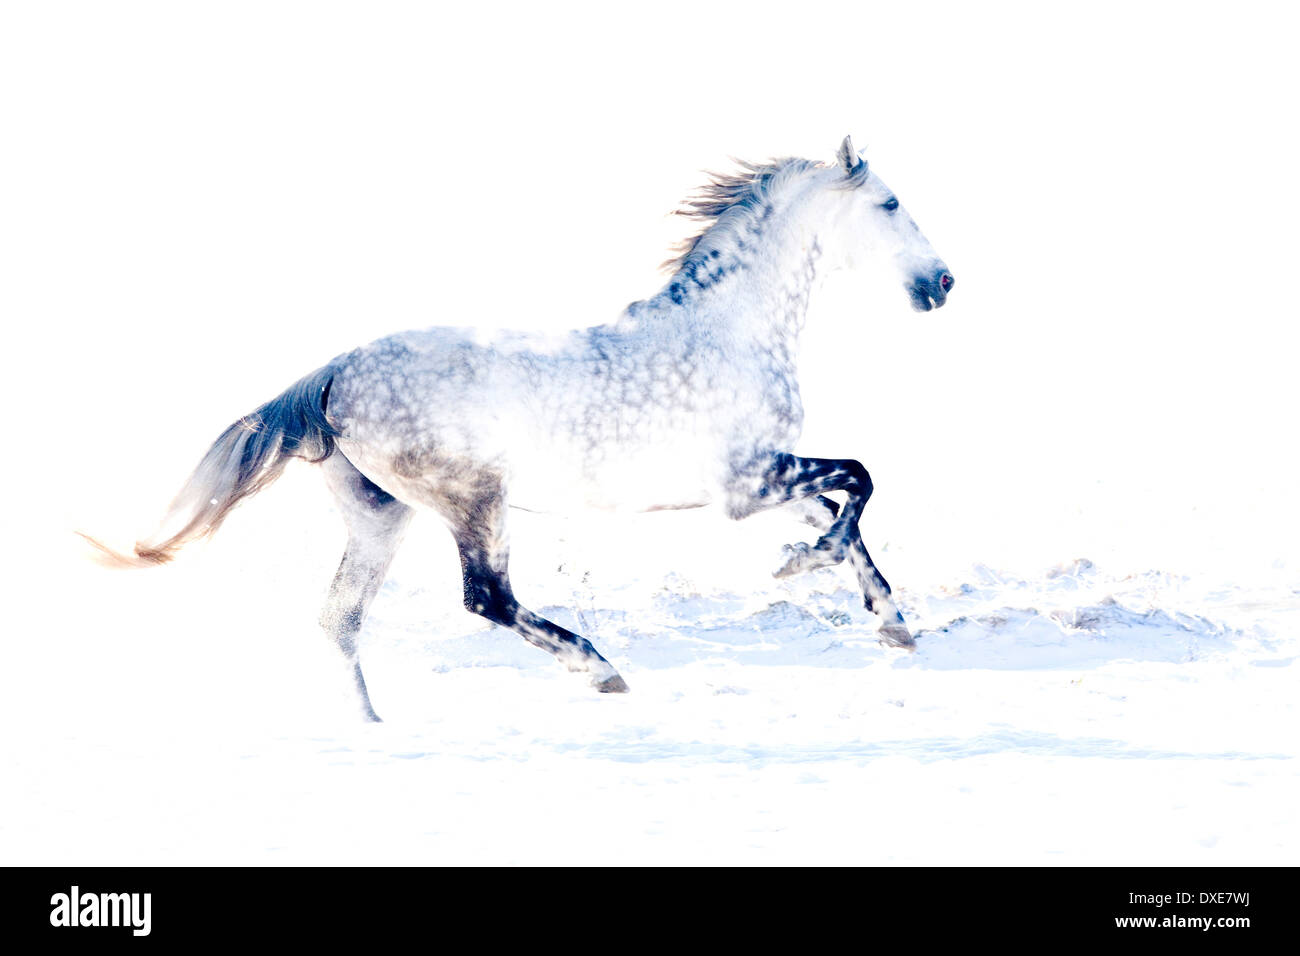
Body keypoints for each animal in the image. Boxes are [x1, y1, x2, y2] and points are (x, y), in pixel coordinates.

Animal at [83, 134, 956, 717]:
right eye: (889, 205)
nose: (943, 282)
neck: (728, 329)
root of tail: (333, 371)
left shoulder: (763, 476)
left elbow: (848, 512)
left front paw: (890, 623)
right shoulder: (748, 482)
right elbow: (858, 482)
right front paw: (801, 566)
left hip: (381, 516)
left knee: (341, 619)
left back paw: (373, 725)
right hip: (475, 502)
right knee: (486, 598)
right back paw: (599, 670)